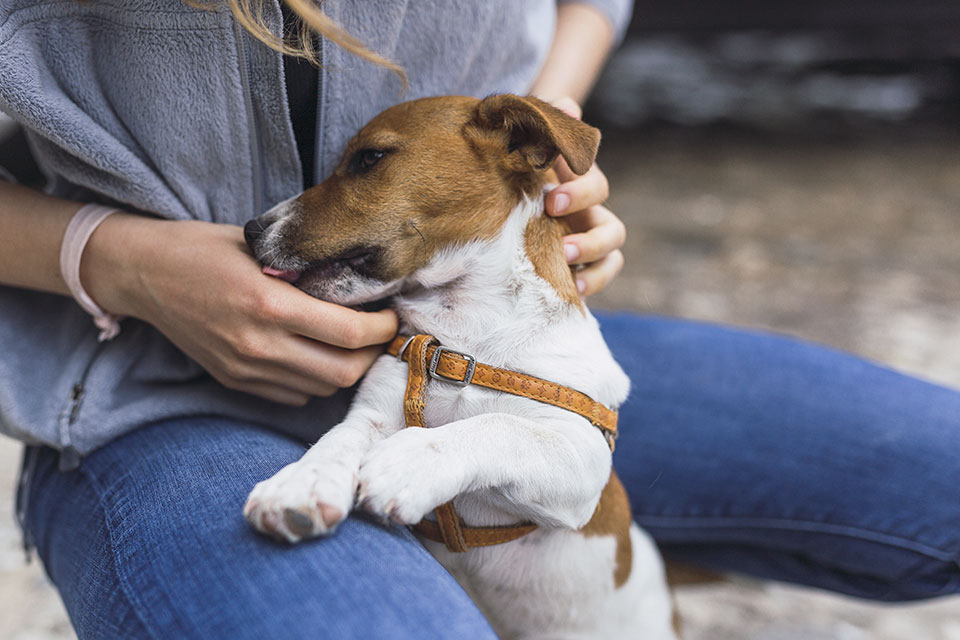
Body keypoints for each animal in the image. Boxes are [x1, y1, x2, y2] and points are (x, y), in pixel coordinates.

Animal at [240, 92, 676, 636]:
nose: (249, 230)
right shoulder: (375, 413)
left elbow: (498, 427)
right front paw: (301, 483)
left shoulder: (581, 457)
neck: (467, 332)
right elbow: (336, 439)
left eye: (369, 158)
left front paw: (409, 463)